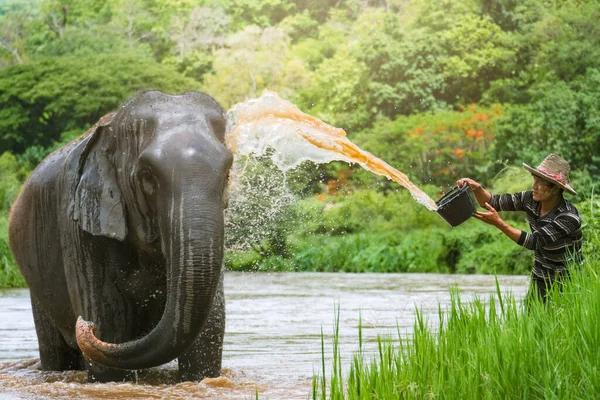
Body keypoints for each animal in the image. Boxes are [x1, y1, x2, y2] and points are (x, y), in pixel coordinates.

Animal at [7, 89, 232, 382]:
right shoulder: (78, 227)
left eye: (228, 173)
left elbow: (209, 331)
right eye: (147, 177)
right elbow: (109, 324)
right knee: (55, 350)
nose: (85, 325)